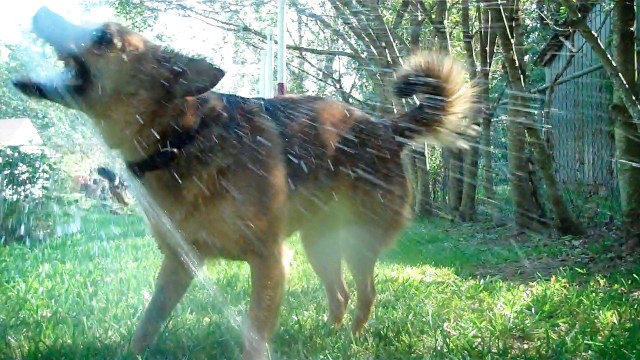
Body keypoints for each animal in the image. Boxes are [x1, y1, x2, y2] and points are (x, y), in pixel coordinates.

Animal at [13, 7, 476, 358]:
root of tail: (386, 127)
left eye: (103, 36)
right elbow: (148, 323)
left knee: (365, 294)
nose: (38, 11)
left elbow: (253, 336)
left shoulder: (269, 259)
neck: (181, 137)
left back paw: (349, 342)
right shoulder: (179, 261)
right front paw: (133, 352)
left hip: (357, 240)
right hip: (318, 243)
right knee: (341, 295)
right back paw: (326, 338)